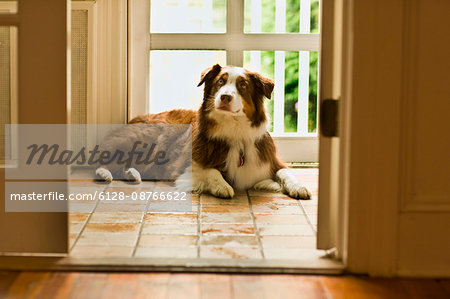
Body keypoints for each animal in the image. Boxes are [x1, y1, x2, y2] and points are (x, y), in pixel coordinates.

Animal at [96, 63, 312, 199]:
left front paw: (300, 187)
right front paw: (222, 186)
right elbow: (212, 171)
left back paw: (132, 174)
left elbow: (286, 173)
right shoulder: (182, 169)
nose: (225, 97)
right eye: (220, 82)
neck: (235, 131)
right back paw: (104, 173)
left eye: (243, 85)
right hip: (142, 138)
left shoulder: (272, 161)